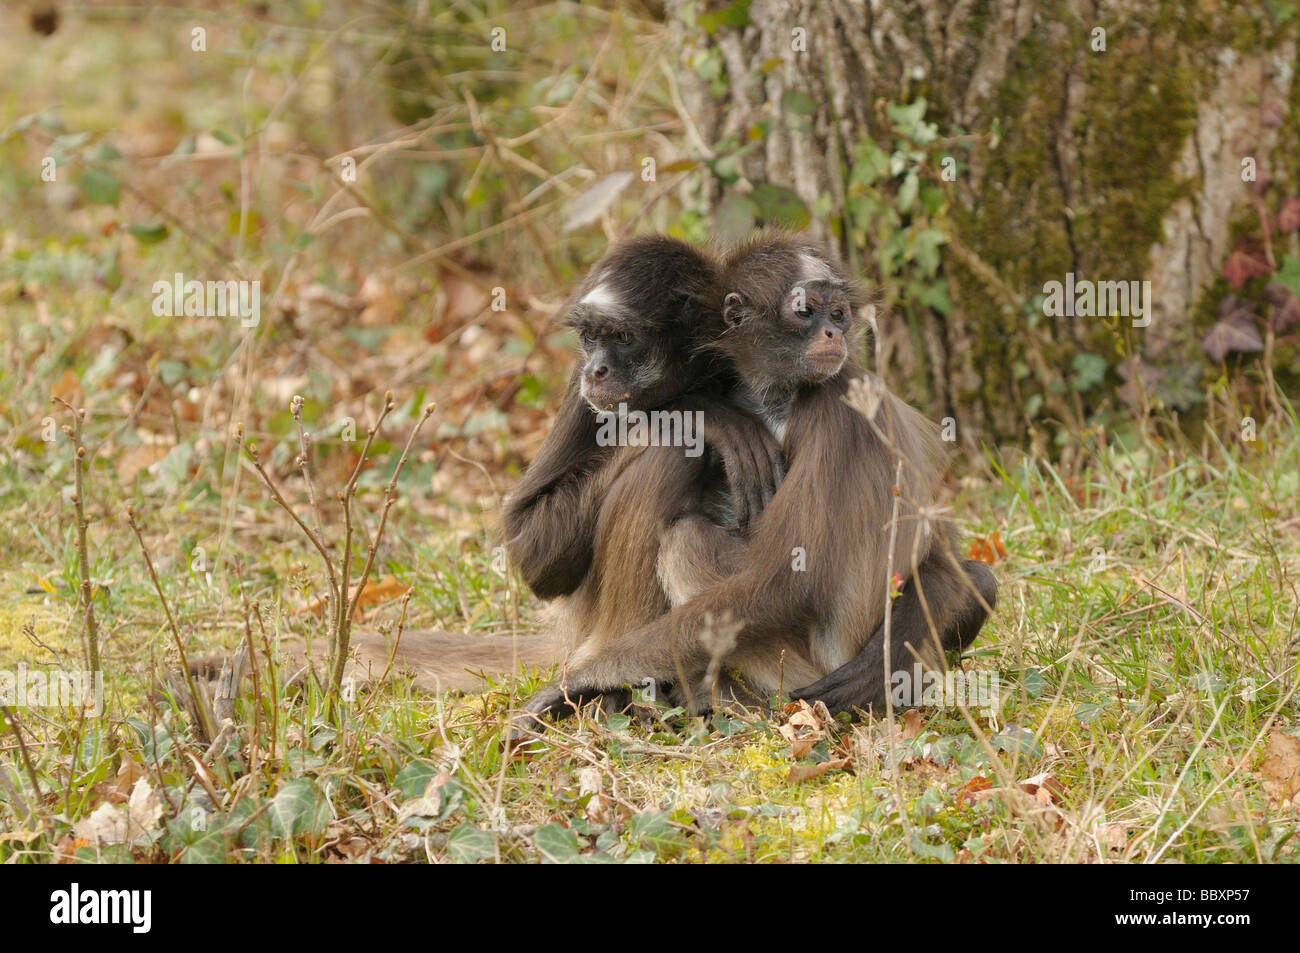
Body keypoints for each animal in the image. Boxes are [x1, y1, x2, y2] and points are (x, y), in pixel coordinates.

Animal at [514, 234, 997, 730]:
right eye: (806, 312)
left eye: (838, 313)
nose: (595, 370)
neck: (772, 398)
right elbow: (532, 554)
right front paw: (708, 414)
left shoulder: (835, 400)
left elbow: (790, 585)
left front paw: (583, 681)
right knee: (673, 453)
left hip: (807, 663)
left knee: (686, 528)